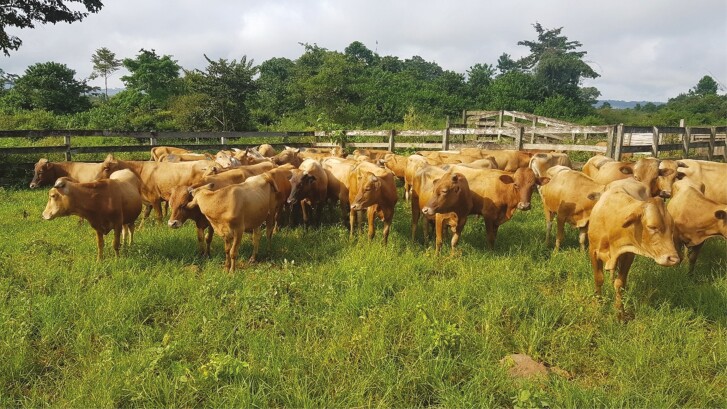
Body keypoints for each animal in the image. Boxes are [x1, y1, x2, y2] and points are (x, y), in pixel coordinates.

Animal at [588, 177, 684, 314]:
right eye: (652, 227)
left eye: (672, 228)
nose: (674, 259)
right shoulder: (593, 251)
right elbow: (598, 279)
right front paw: (598, 304)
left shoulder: (628, 254)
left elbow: (620, 284)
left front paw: (620, 312)